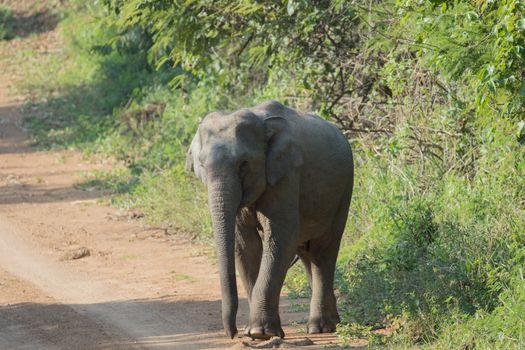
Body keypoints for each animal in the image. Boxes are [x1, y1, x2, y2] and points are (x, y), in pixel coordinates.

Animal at [184, 100, 352, 340]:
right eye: (202, 165)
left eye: (243, 164)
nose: (233, 334)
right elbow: (246, 246)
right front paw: (255, 332)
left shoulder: (287, 174)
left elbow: (280, 238)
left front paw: (259, 333)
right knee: (306, 251)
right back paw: (328, 323)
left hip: (343, 192)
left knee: (323, 248)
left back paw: (321, 327)